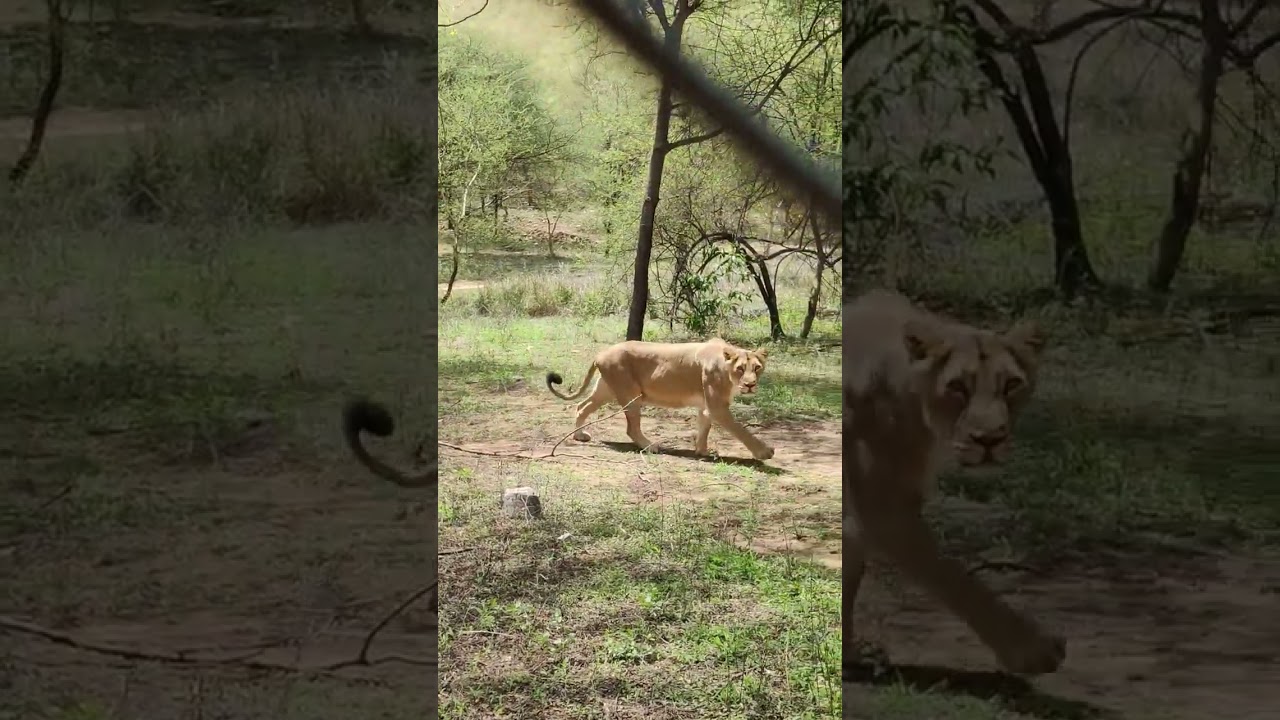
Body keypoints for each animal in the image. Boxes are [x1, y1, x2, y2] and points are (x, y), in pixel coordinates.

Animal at [546, 338, 774, 460]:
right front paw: (764, 452)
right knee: (631, 428)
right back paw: (651, 447)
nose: (750, 384)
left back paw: (579, 435)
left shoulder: (707, 406)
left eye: (757, 368)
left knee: (581, 406)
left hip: (606, 390)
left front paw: (701, 451)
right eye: (740, 368)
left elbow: (704, 428)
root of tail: (600, 353)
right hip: (631, 394)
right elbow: (742, 431)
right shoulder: (718, 406)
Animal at [843, 289, 1064, 676]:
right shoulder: (884, 510)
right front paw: (1032, 650)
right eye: (958, 387)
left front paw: (850, 655)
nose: (989, 439)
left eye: (1012, 385)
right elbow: (956, 577)